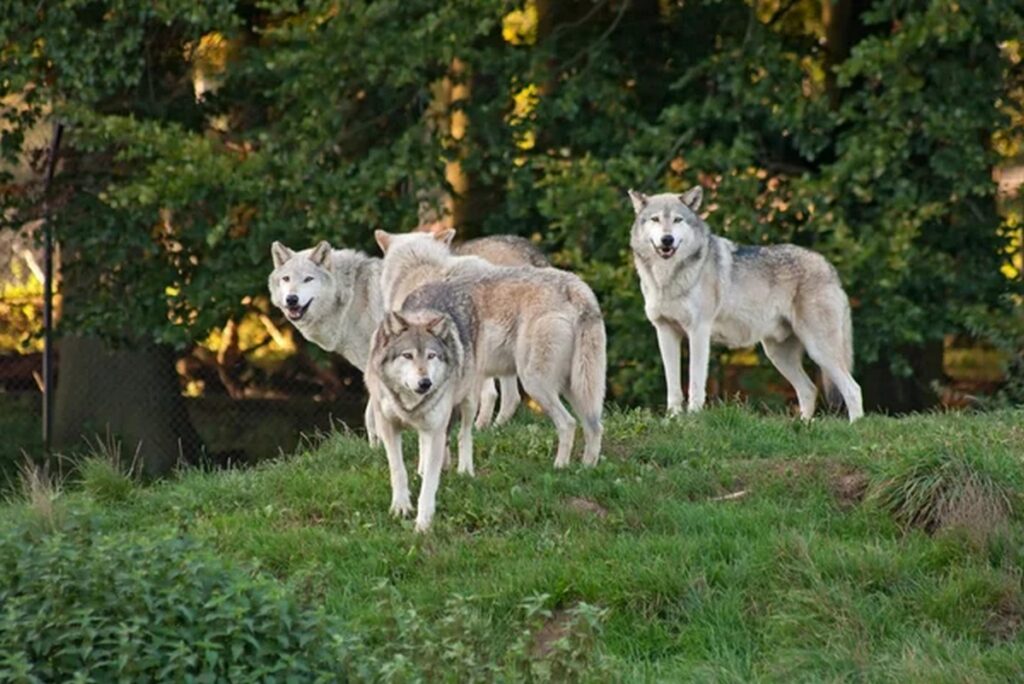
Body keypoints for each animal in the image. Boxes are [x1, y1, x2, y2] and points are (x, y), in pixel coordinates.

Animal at [366, 290, 481, 532]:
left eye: (431, 356)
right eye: (407, 355)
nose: (425, 383)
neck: (410, 403)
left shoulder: (436, 431)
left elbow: (430, 481)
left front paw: (423, 522)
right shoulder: (387, 426)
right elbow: (398, 470)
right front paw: (400, 507)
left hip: (469, 400)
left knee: (464, 434)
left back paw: (465, 470)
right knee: (422, 443)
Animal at [374, 229, 602, 471]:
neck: (417, 270)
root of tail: (575, 287)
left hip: (534, 382)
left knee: (567, 423)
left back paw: (559, 466)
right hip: (574, 387)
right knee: (593, 425)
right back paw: (586, 468)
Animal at [626, 187, 860, 421]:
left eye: (677, 219)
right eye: (655, 219)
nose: (667, 239)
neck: (667, 278)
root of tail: (830, 268)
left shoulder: (698, 331)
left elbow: (695, 383)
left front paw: (693, 418)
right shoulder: (665, 331)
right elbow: (673, 386)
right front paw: (673, 419)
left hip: (818, 350)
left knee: (853, 389)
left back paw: (854, 424)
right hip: (778, 354)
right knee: (809, 389)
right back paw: (803, 424)